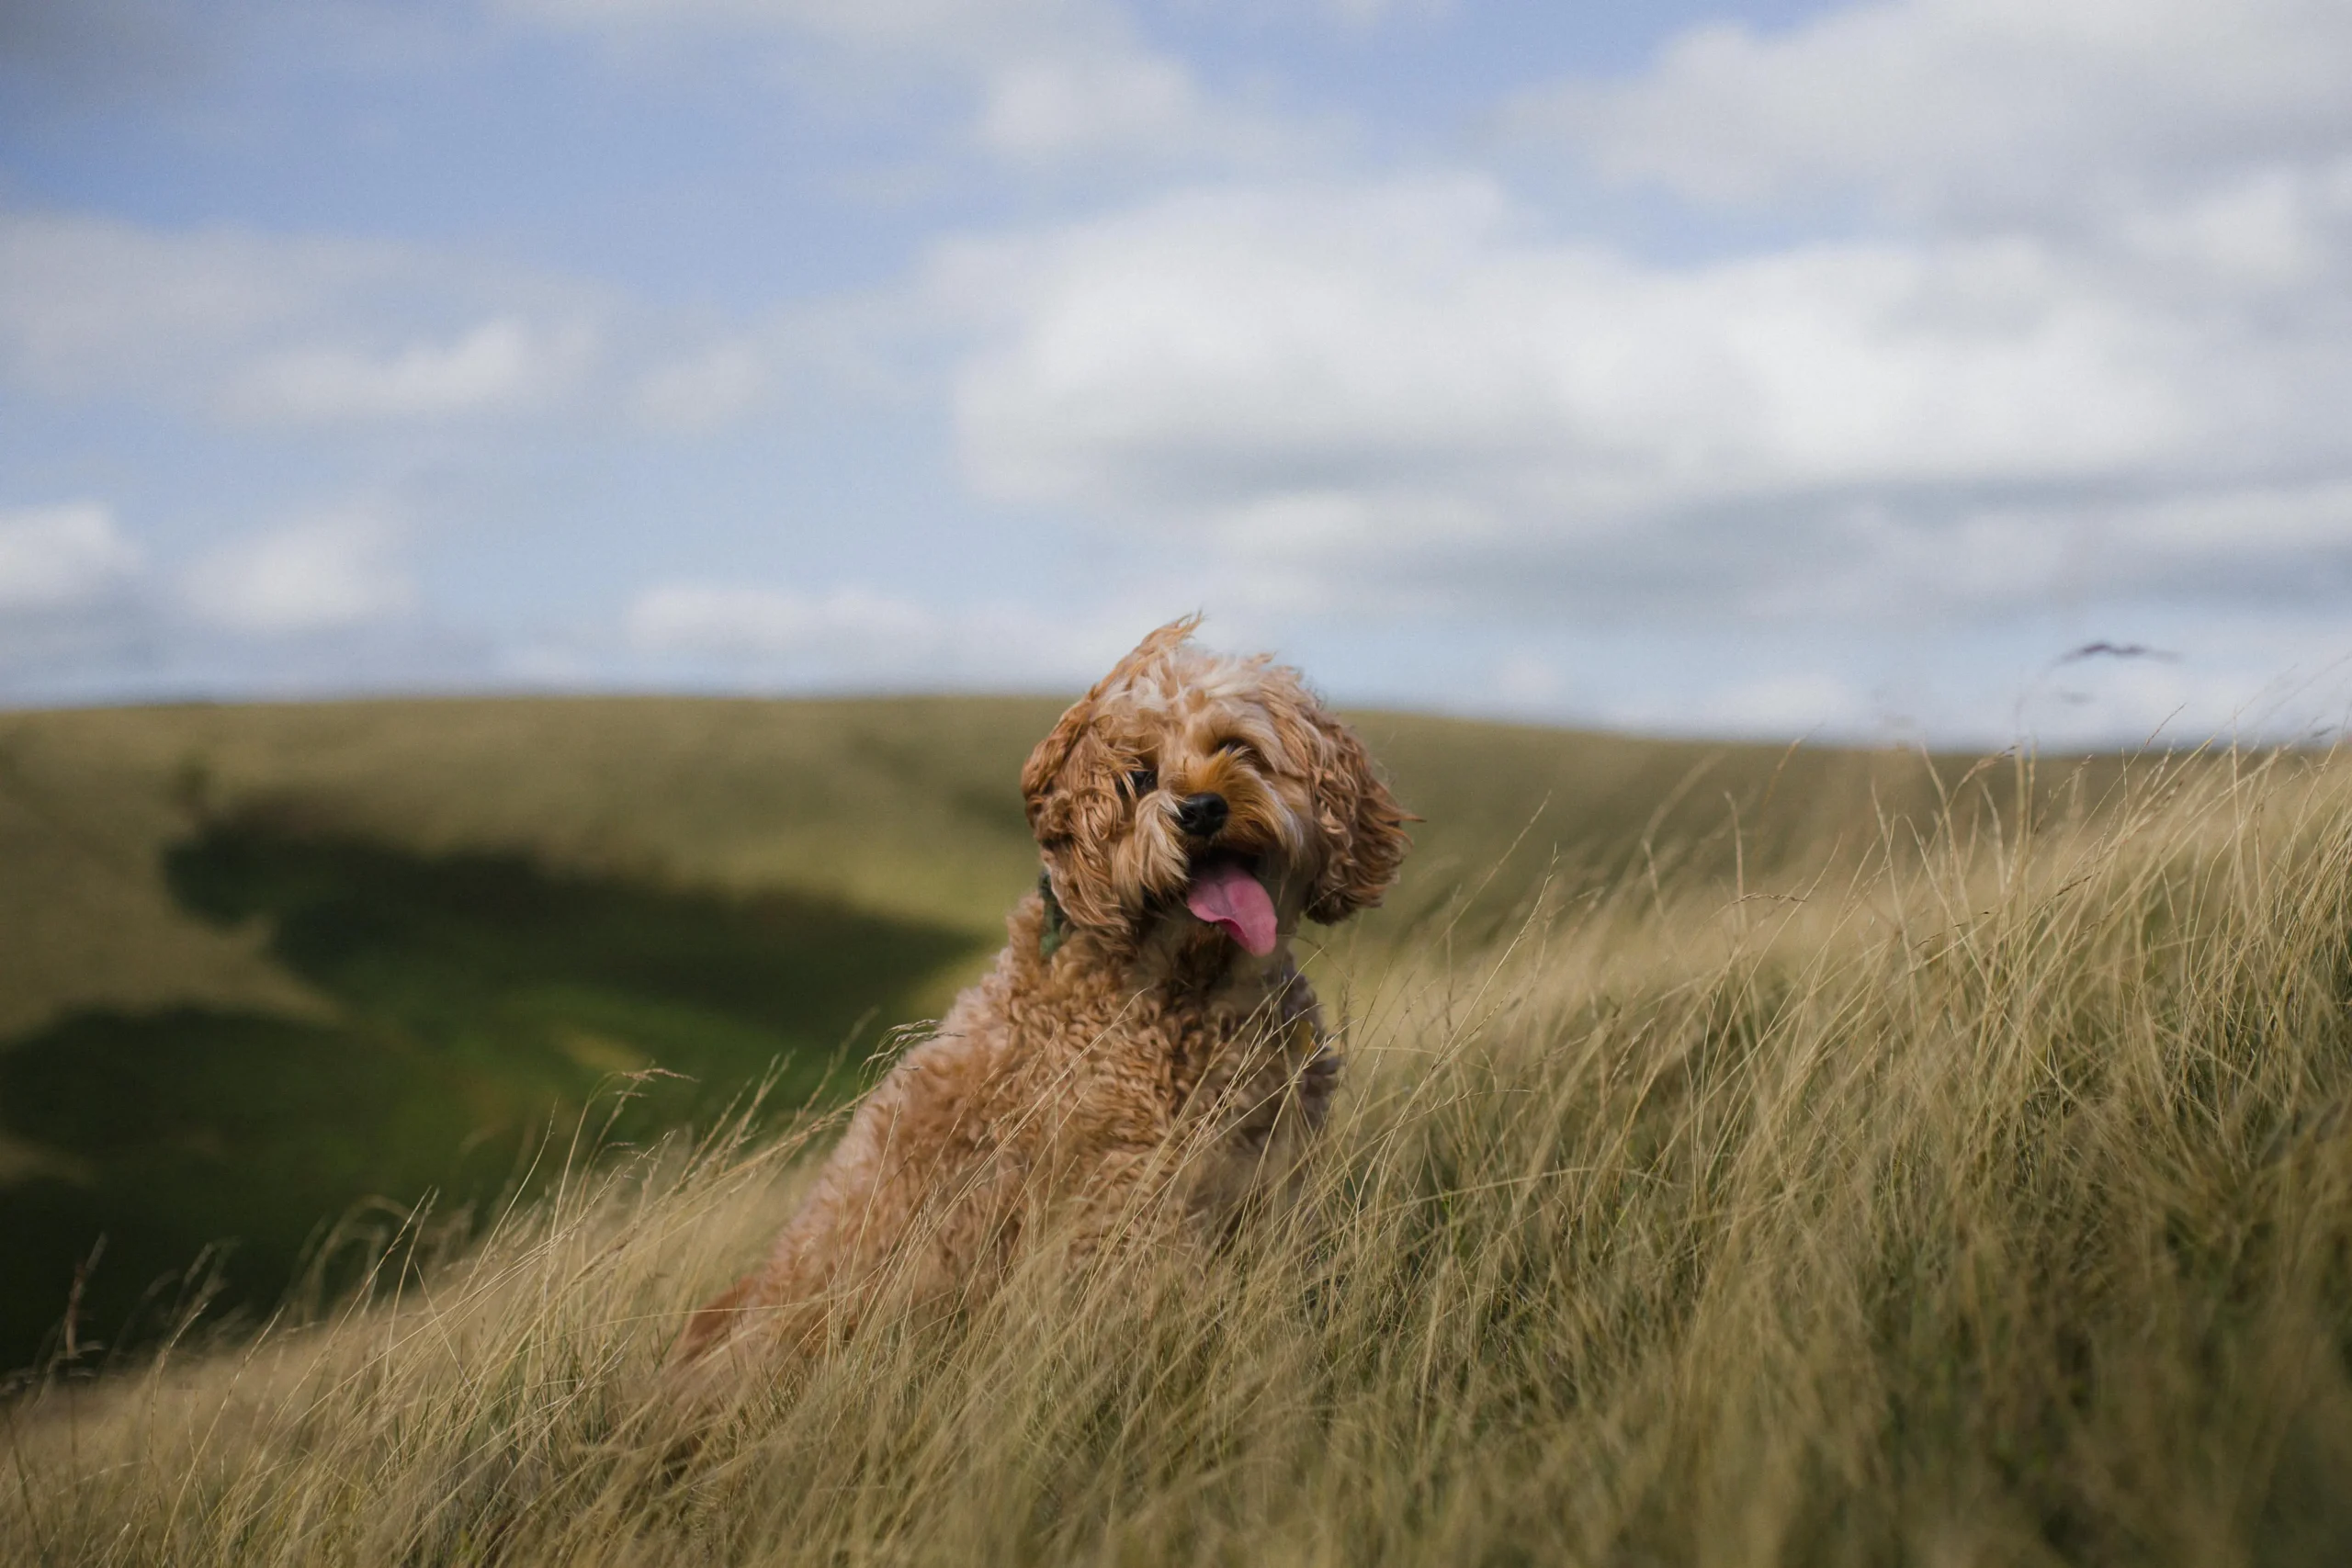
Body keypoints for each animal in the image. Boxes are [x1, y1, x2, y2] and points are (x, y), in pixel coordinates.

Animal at [677, 620, 1411, 1382]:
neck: (1188, 985)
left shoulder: (1272, 1175)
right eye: (1139, 776)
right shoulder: (1130, 1196)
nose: (1202, 810)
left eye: (1237, 747)